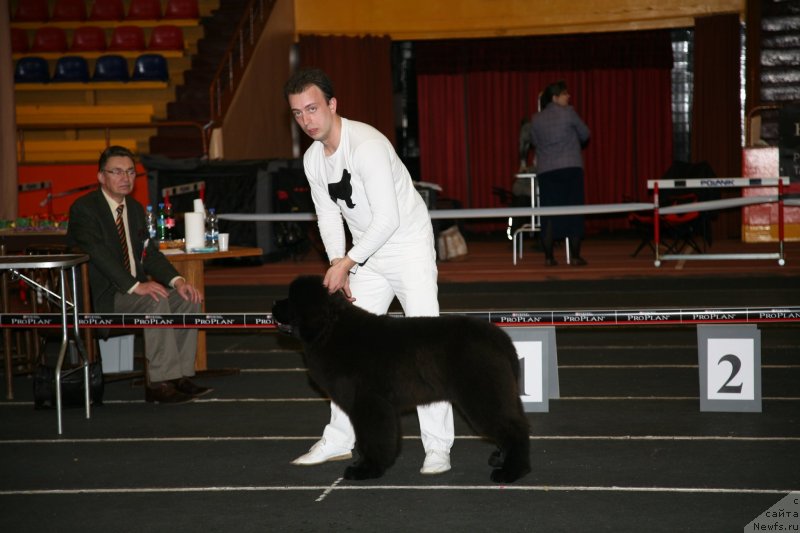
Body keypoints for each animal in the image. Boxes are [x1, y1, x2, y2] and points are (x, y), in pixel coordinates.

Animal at [270, 274, 532, 482]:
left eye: (291, 299)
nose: (273, 303)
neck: (330, 330)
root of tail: (499, 336)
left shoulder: (370, 403)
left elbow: (373, 438)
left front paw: (366, 469)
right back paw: (501, 460)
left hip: (482, 394)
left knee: (514, 429)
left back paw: (511, 472)